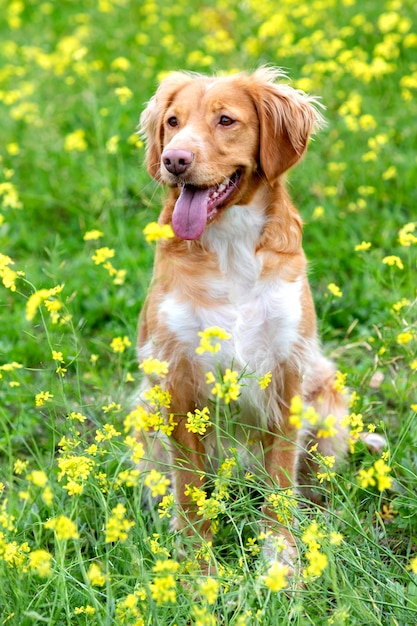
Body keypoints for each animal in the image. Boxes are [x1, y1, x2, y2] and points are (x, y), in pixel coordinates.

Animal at [135, 66, 350, 564]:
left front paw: (280, 557)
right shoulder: (176, 376)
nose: (174, 160)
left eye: (226, 120)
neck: (229, 246)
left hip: (327, 395)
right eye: (172, 121)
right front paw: (195, 563)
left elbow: (281, 475)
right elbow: (189, 483)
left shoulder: (288, 369)